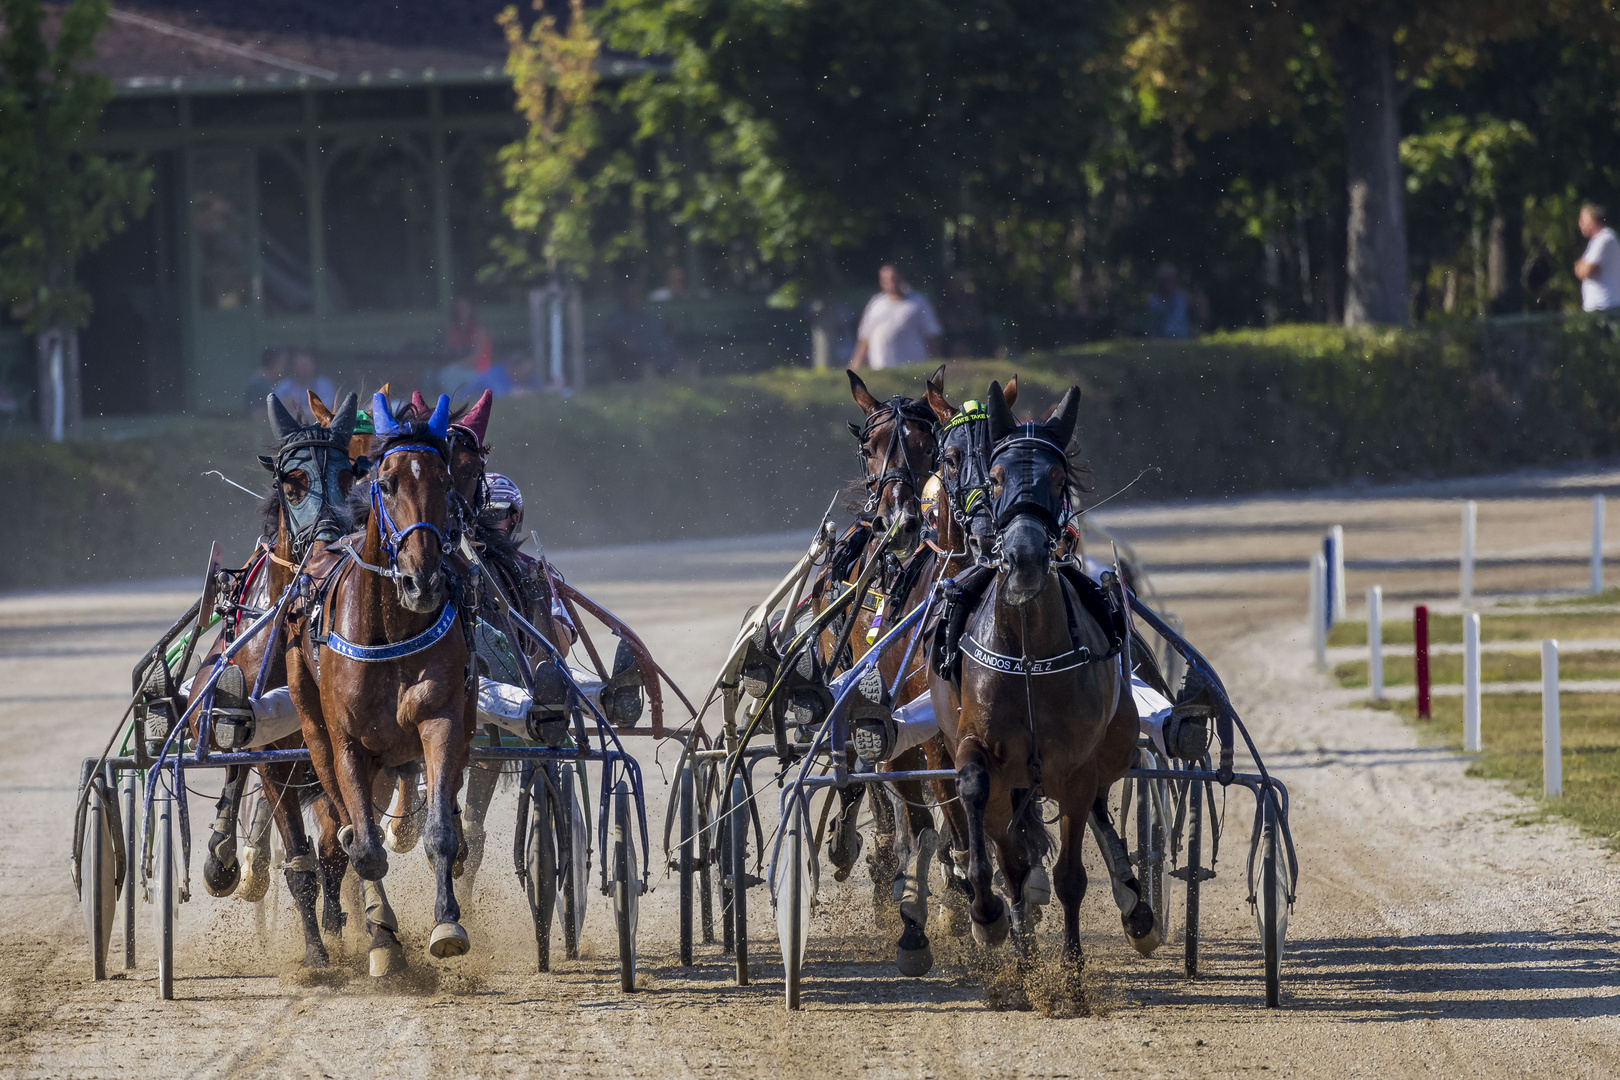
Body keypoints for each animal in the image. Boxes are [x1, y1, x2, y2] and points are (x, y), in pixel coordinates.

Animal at [289, 395, 476, 971]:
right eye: (387, 482)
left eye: (444, 481)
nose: (424, 582)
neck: (391, 626)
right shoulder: (347, 741)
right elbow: (366, 851)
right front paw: (383, 940)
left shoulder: (442, 717)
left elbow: (440, 834)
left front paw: (446, 923)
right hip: (314, 729)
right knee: (348, 829)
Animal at [933, 382, 1146, 1016]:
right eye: (998, 474)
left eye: (1056, 477)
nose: (1025, 556)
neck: (1028, 651)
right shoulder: (977, 746)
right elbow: (978, 805)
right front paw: (989, 921)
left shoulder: (1073, 768)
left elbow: (1073, 874)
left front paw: (1070, 981)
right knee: (1009, 851)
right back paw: (1018, 947)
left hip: (1107, 748)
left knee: (1099, 812)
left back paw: (1134, 909)